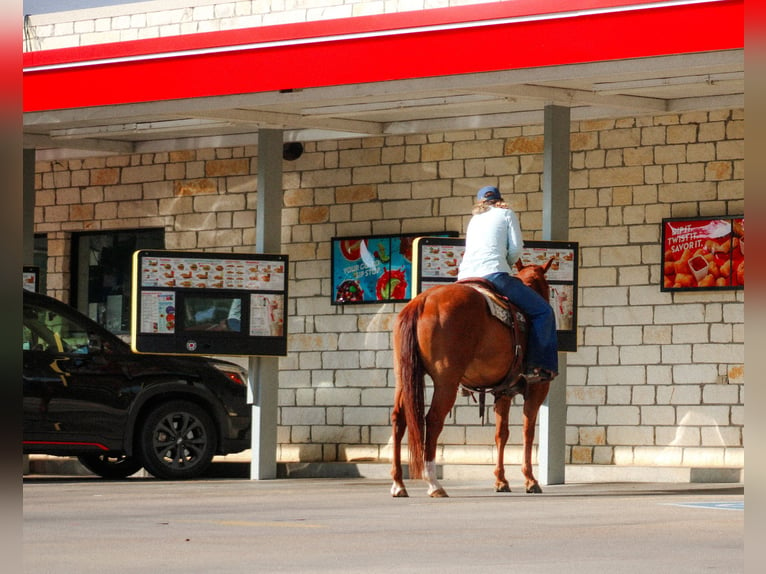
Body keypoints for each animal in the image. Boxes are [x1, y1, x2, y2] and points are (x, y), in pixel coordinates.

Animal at [392, 260, 556, 500]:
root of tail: (421, 301)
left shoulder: (503, 391)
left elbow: (501, 433)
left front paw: (501, 480)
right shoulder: (537, 390)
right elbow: (528, 432)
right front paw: (530, 480)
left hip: (404, 377)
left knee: (399, 419)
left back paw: (398, 484)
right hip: (446, 382)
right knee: (433, 420)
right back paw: (433, 484)